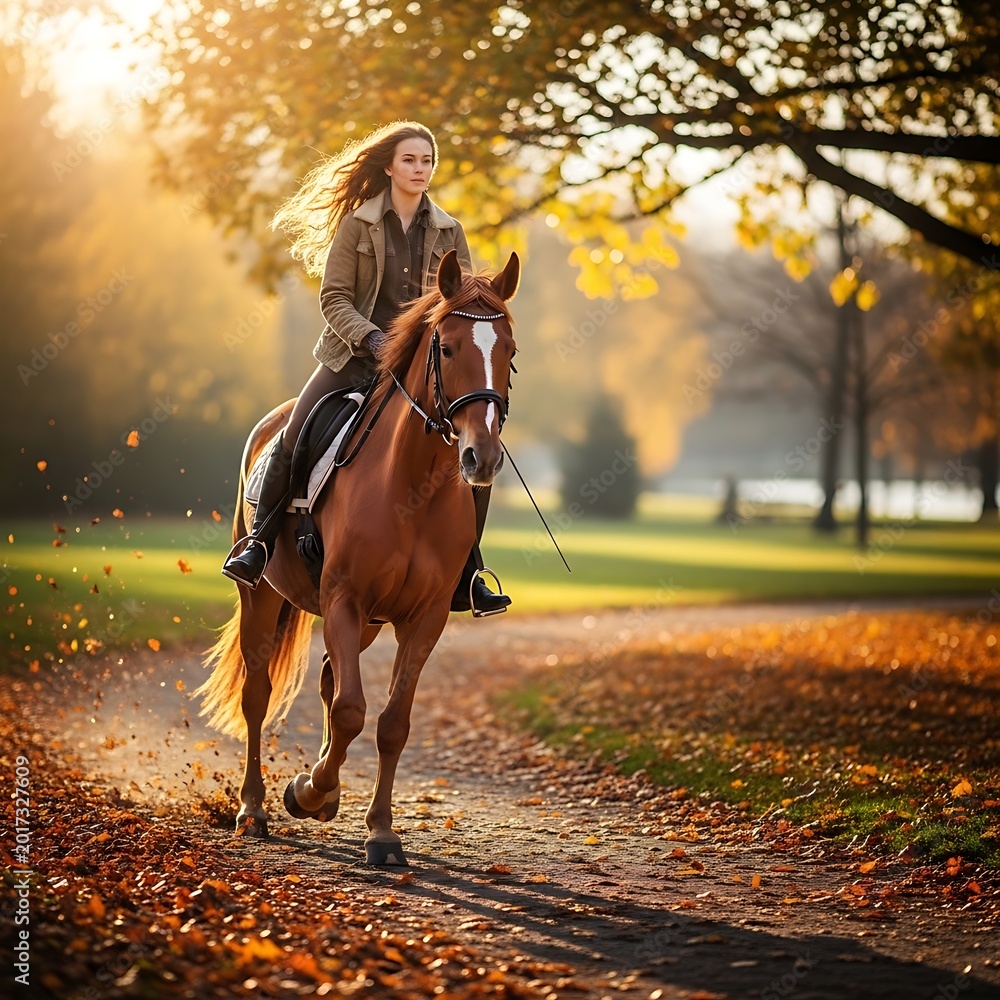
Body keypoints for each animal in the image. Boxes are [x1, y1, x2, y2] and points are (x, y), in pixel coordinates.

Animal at [196, 249, 519, 865]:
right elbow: (350, 710)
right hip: (261, 596)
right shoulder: (344, 598)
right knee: (258, 694)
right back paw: (254, 810)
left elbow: (391, 722)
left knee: (328, 678)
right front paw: (305, 792)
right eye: (446, 348)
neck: (413, 487)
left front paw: (381, 832)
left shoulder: (424, 617)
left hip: (367, 622)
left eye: (509, 352)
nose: (482, 457)